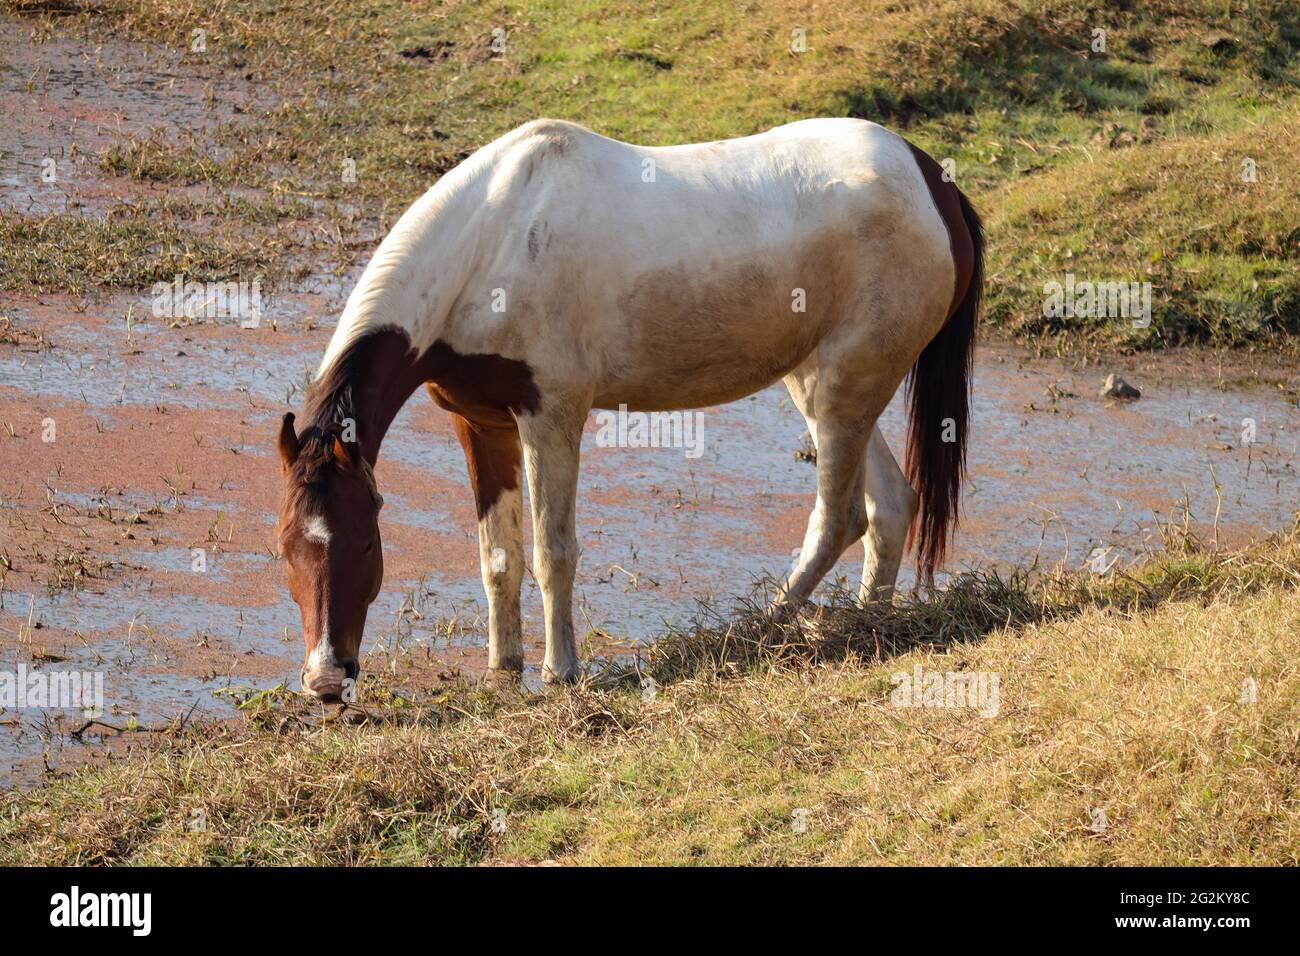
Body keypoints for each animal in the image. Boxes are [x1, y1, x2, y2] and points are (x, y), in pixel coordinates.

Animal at [274, 117, 983, 700]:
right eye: (286, 547)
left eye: (367, 541)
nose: (326, 679)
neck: (492, 241)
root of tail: (934, 183)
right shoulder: (480, 424)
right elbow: (498, 555)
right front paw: (503, 669)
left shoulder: (551, 418)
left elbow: (552, 551)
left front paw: (561, 672)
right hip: (824, 385)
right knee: (890, 506)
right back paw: (865, 626)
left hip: (844, 387)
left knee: (838, 519)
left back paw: (759, 631)